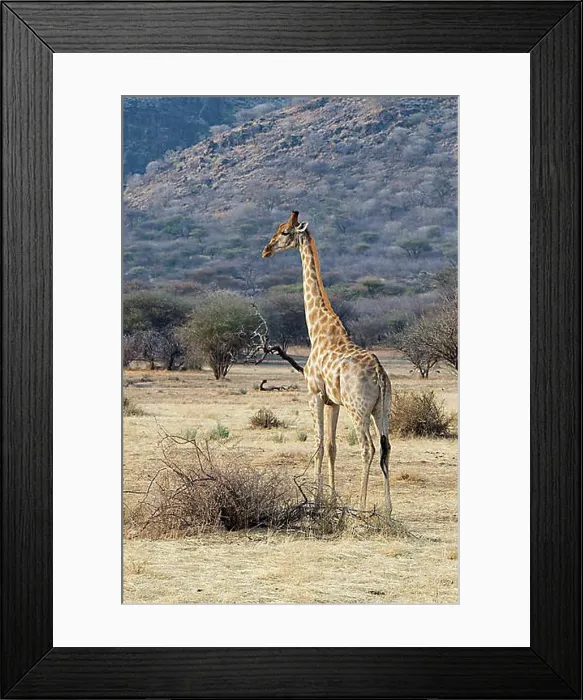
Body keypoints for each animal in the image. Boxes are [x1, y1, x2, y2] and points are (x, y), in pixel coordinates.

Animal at [262, 210, 392, 514]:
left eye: (284, 232)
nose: (266, 250)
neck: (318, 331)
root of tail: (380, 375)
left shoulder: (314, 394)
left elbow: (319, 445)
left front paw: (317, 500)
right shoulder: (333, 402)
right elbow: (332, 447)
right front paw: (331, 500)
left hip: (359, 408)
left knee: (367, 447)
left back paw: (361, 505)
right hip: (382, 409)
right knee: (386, 448)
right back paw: (388, 509)